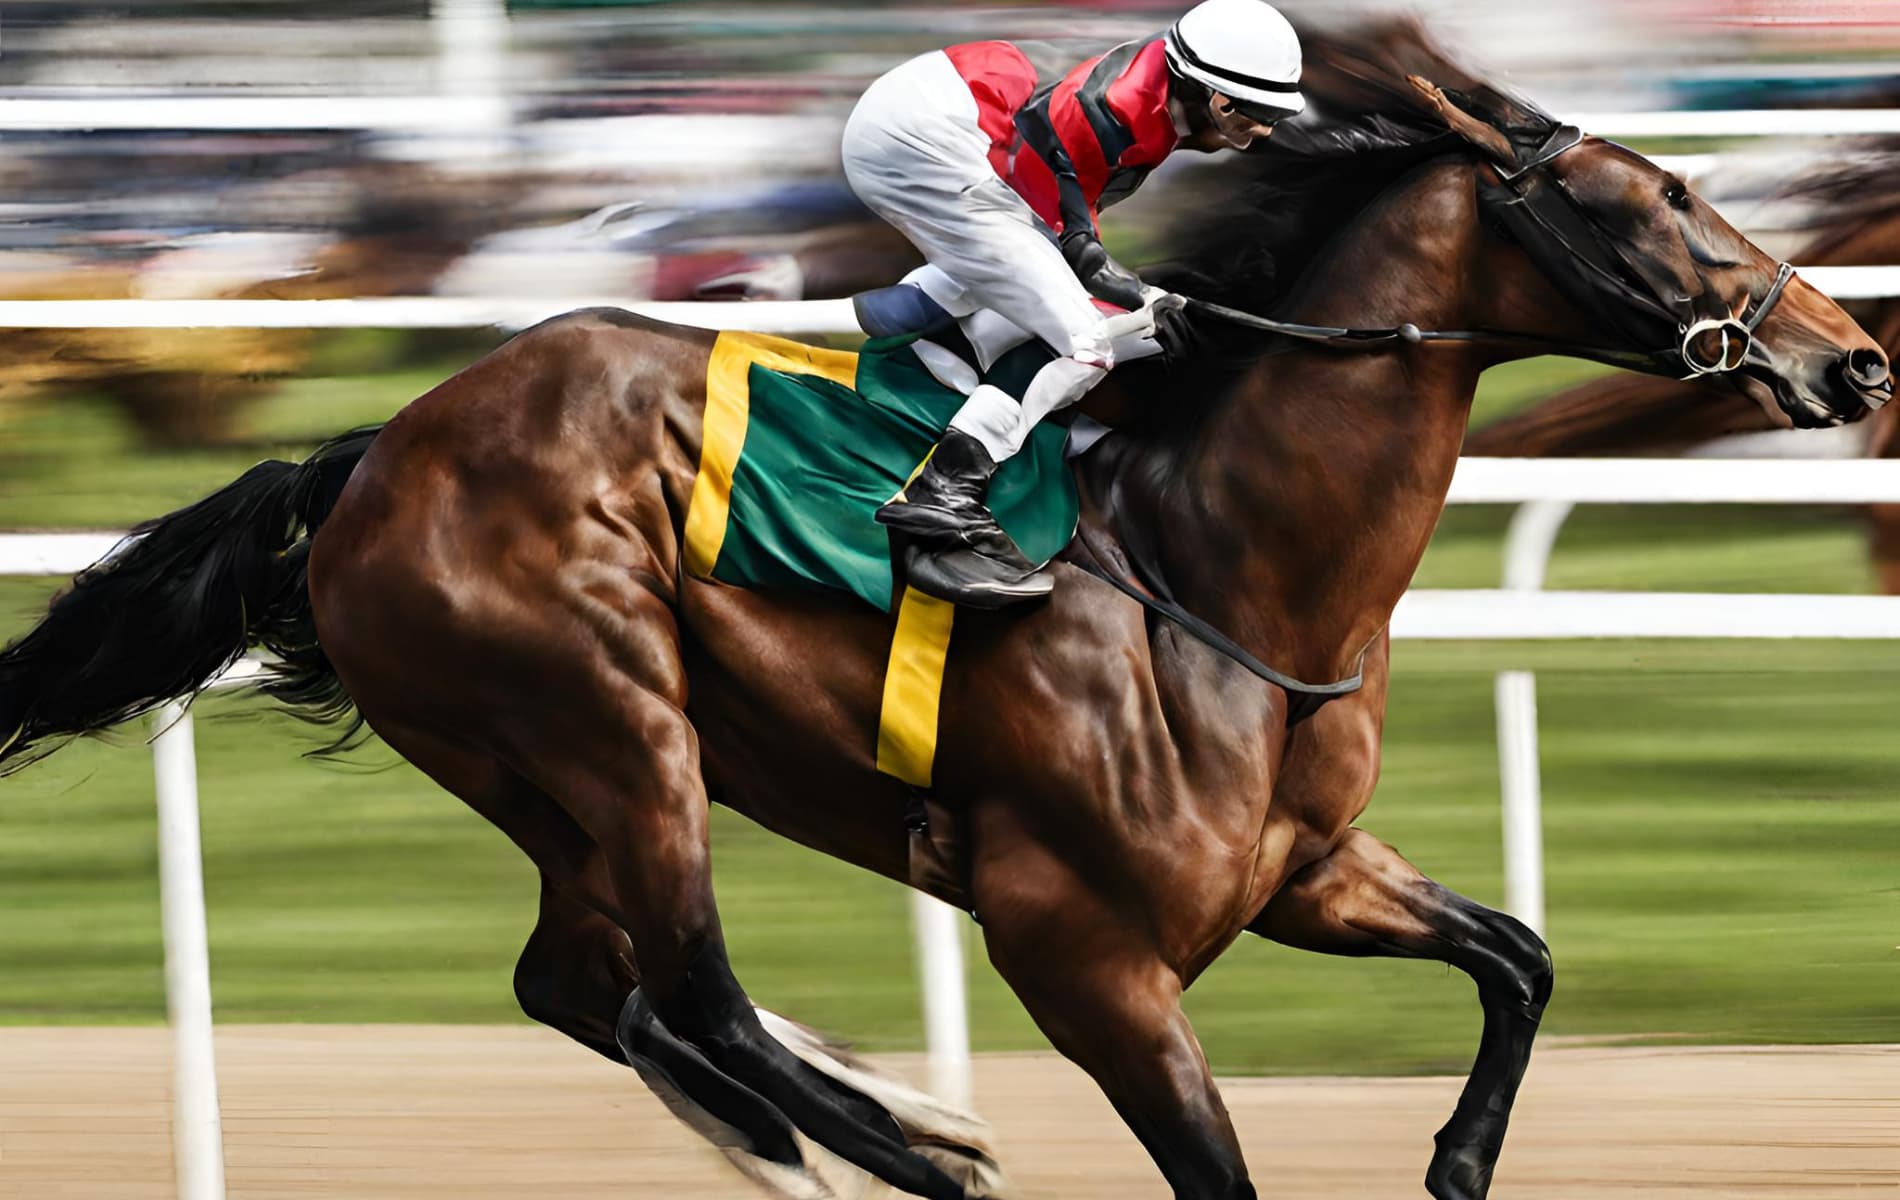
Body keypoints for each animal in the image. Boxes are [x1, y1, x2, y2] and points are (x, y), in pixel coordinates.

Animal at [1, 43, 1888, 1200]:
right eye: (1662, 196)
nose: (1852, 357)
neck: (1218, 568)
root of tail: (376, 450)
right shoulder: (1083, 950)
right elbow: (1218, 1161)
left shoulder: (1302, 874)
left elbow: (1522, 955)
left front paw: (1461, 1160)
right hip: (608, 715)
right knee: (686, 991)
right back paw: (905, 1140)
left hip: (548, 771)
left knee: (591, 985)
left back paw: (854, 1121)